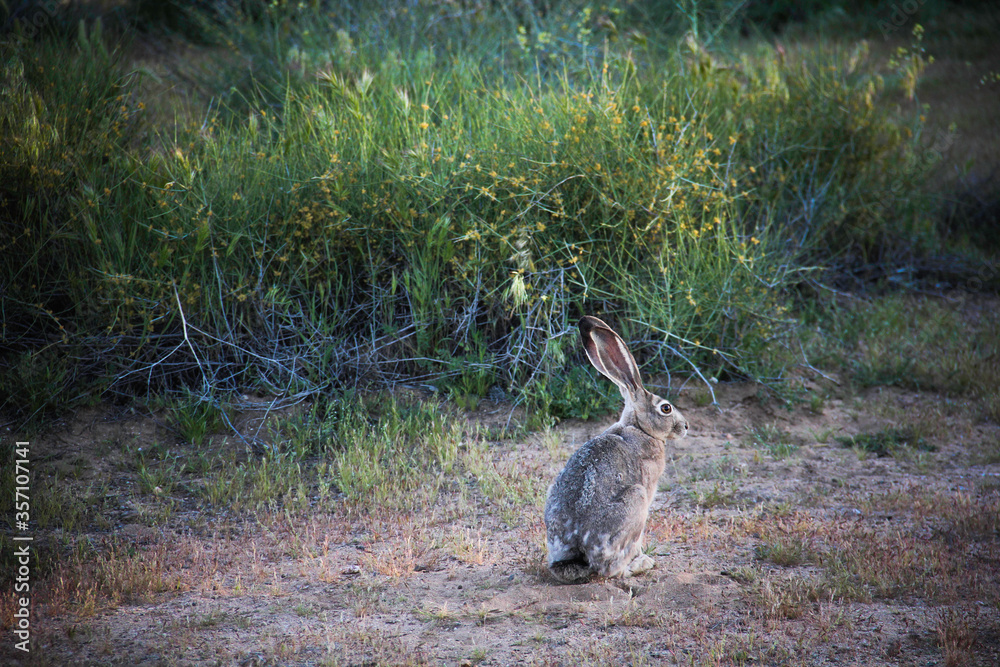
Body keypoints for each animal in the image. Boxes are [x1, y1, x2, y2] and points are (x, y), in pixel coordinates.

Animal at [544, 316, 689, 584]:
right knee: (610, 569)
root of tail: (578, 550)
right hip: (636, 500)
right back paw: (640, 565)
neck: (639, 428)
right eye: (666, 408)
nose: (685, 426)